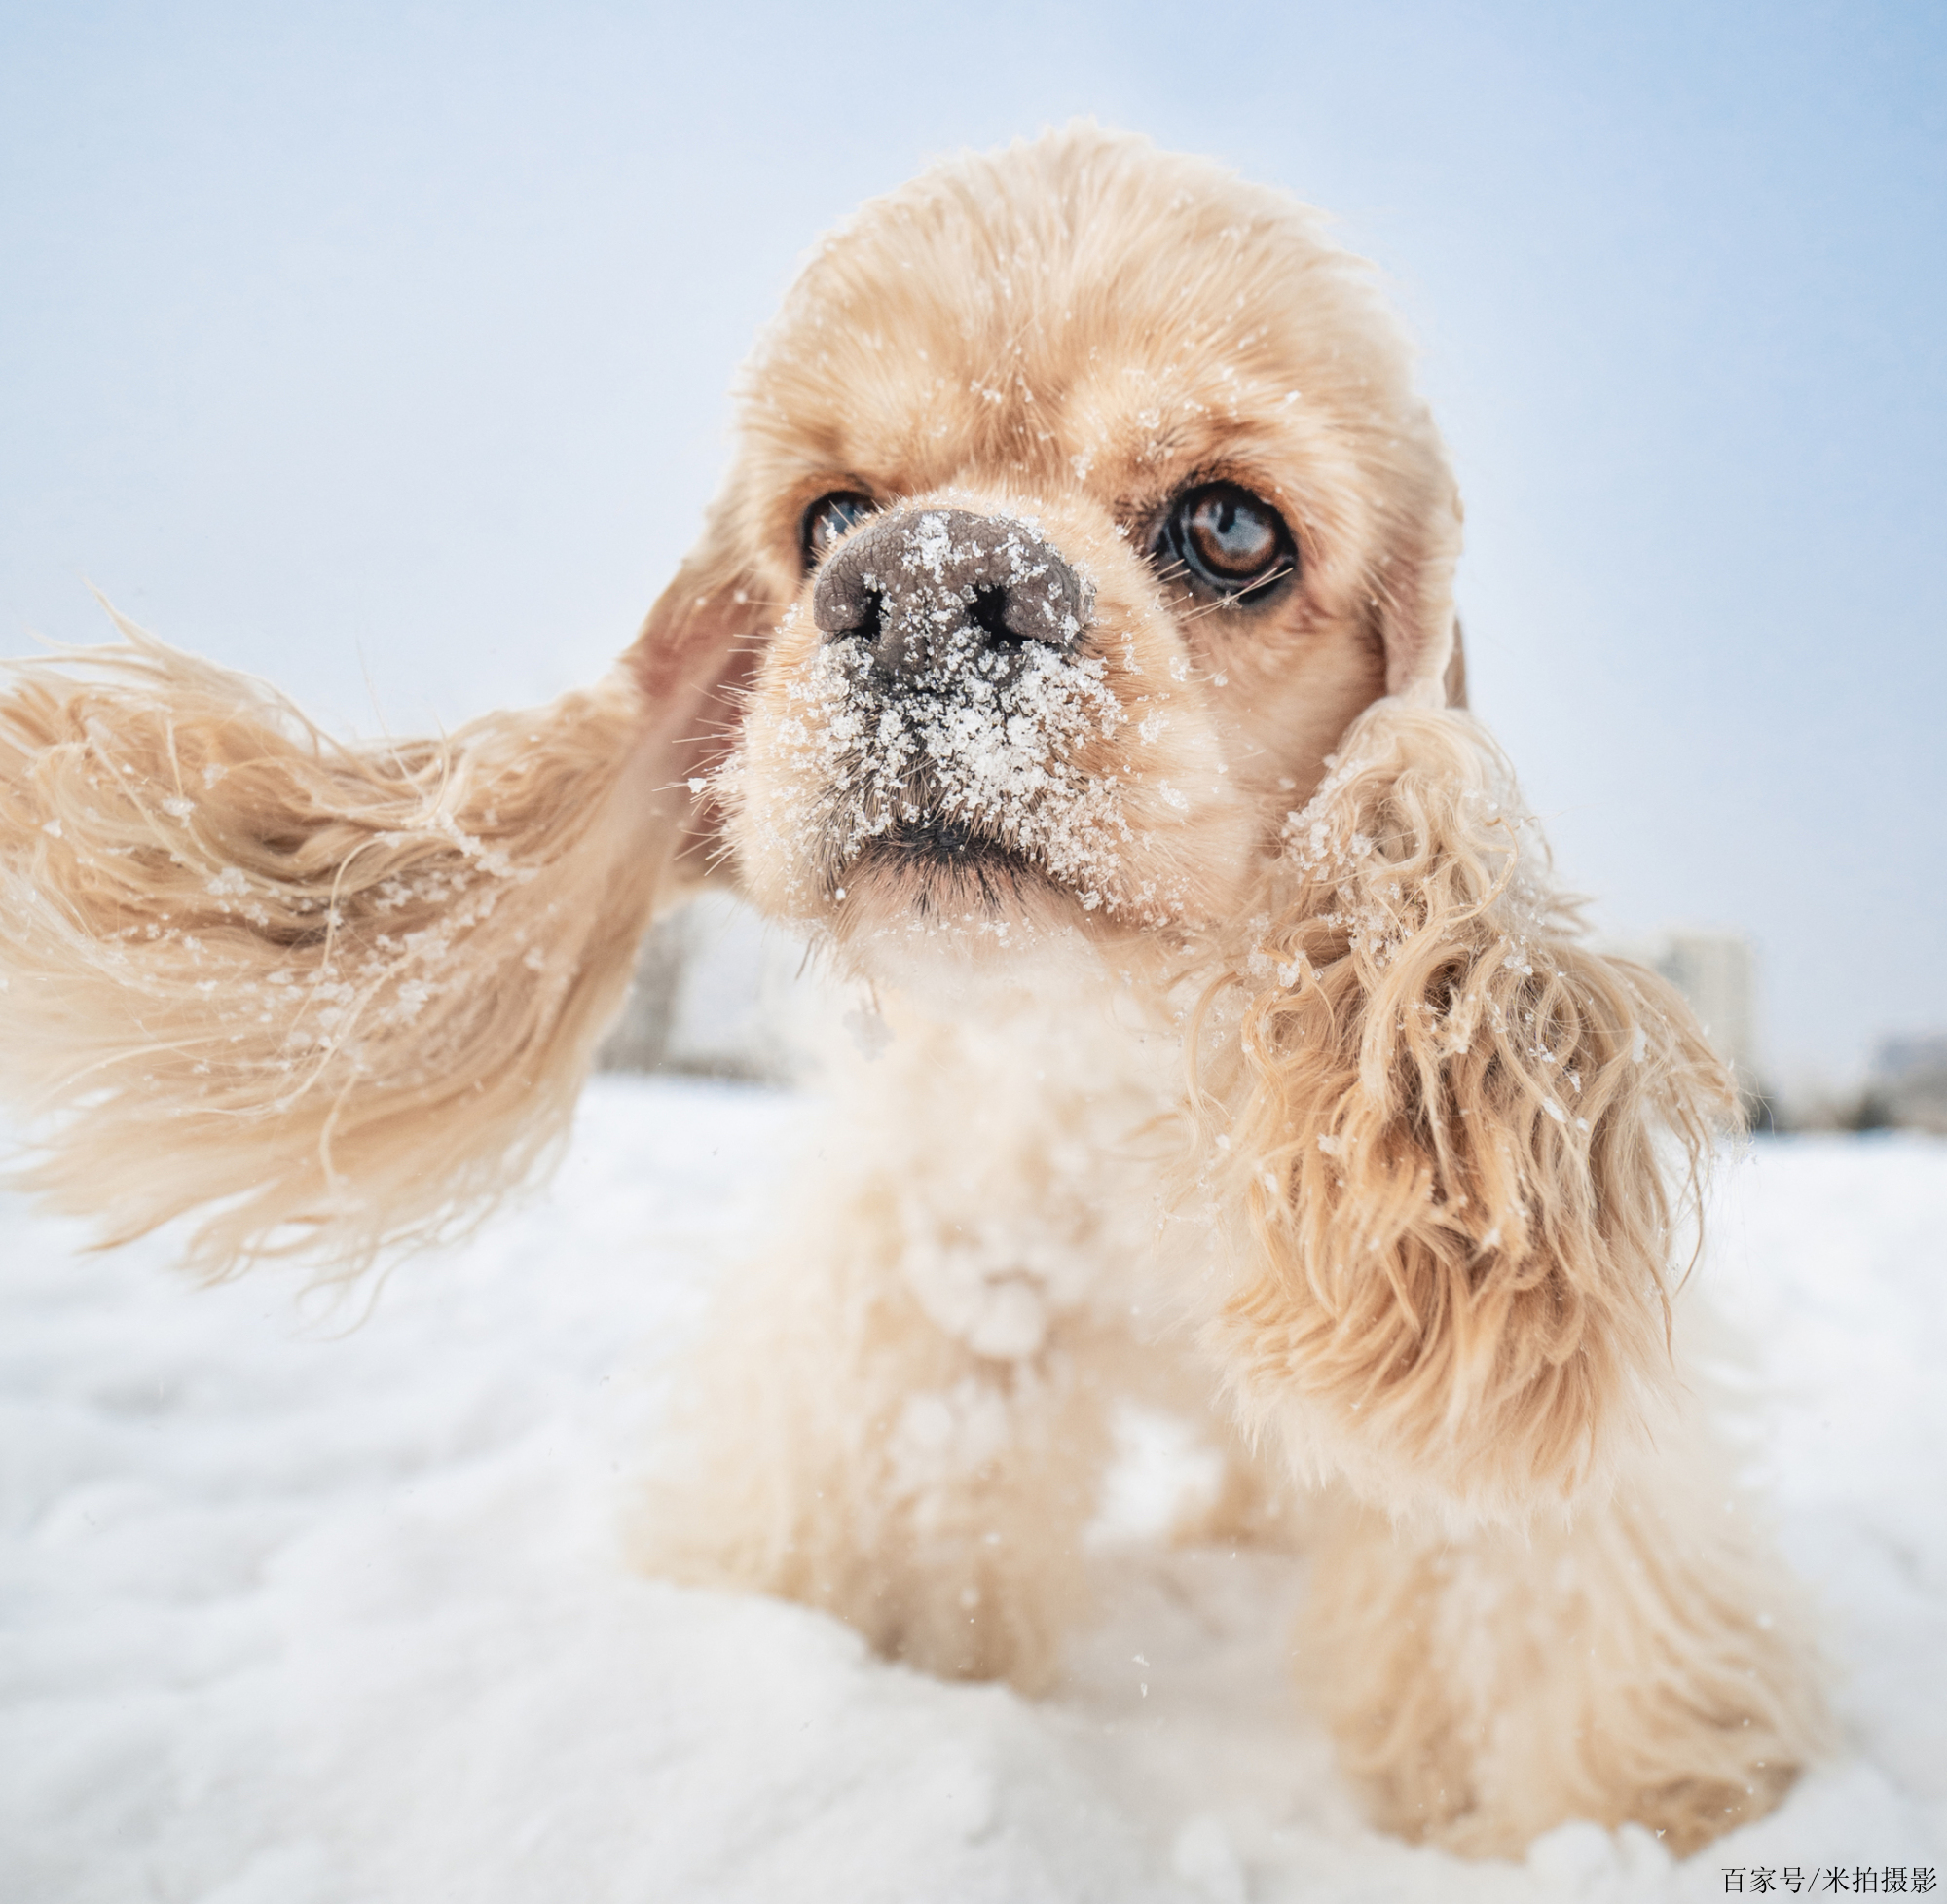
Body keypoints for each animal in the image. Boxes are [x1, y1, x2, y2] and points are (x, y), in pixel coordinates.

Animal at [0, 127, 1822, 1846]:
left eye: (1232, 526)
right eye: (829, 517)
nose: (935, 580)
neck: (1119, 1054)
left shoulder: (1503, 1503)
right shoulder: (930, 1316)